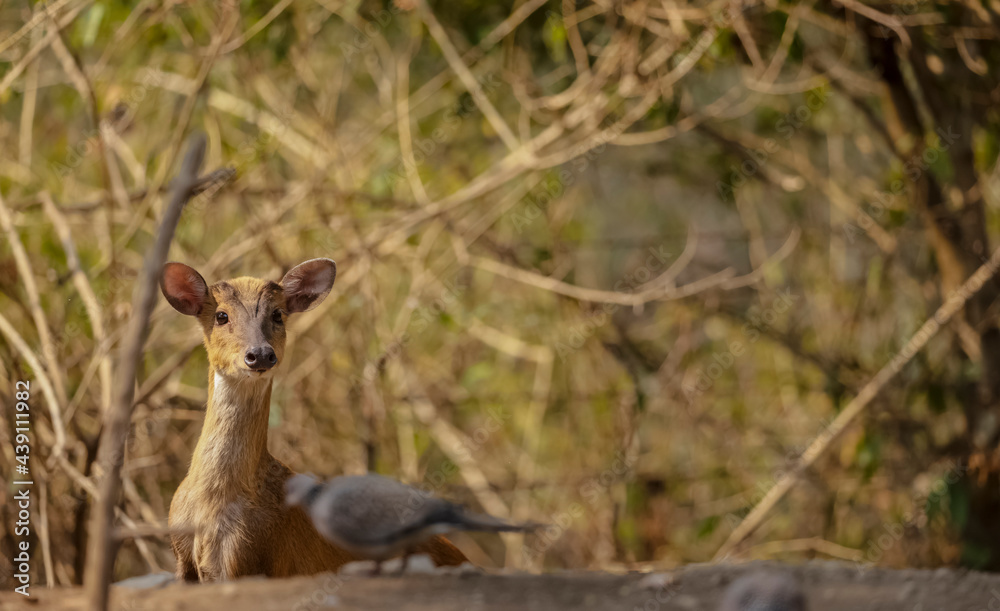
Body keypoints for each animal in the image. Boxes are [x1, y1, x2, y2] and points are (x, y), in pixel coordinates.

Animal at [159, 258, 468, 581]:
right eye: (221, 315)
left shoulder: (251, 558)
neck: (211, 501)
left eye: (278, 314)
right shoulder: (183, 558)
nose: (260, 354)